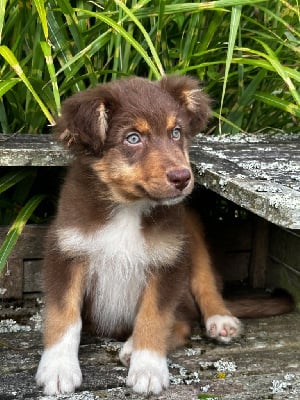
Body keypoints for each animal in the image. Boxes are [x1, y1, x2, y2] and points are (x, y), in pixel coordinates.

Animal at [35, 74, 243, 394]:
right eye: (133, 138)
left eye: (176, 133)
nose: (183, 178)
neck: (128, 207)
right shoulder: (65, 251)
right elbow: (64, 316)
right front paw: (58, 369)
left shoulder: (168, 261)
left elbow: (153, 318)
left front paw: (148, 368)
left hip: (191, 231)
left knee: (200, 291)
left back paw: (217, 320)